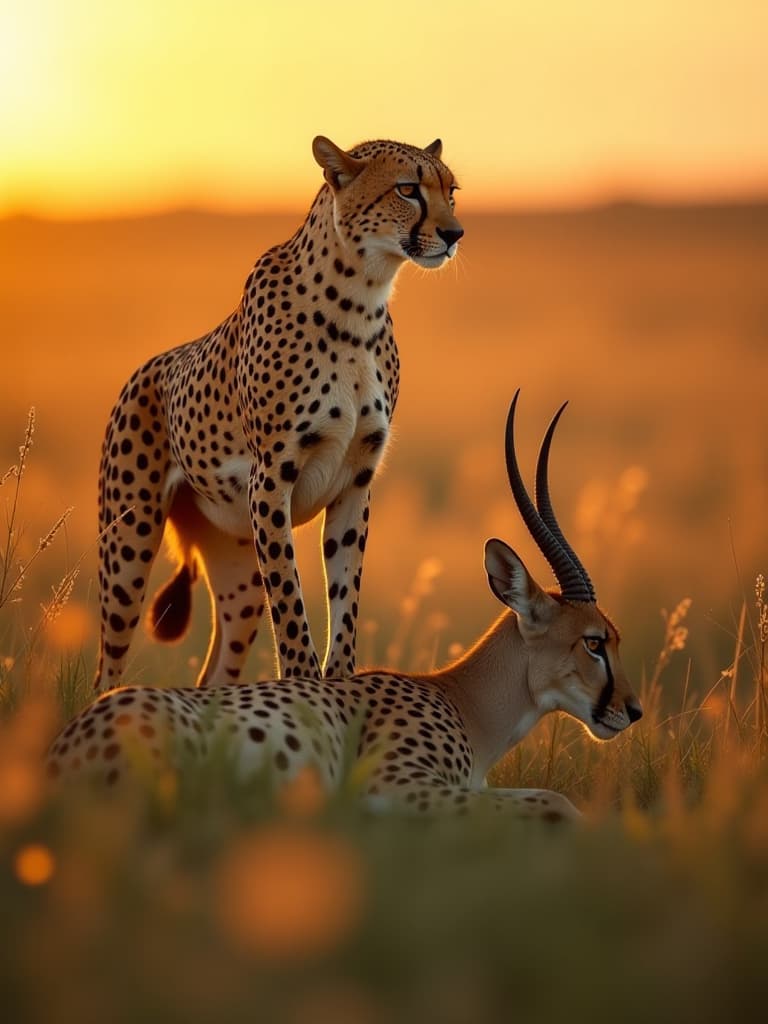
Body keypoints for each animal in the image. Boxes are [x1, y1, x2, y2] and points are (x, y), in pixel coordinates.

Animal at [93, 134, 460, 688]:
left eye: (450, 191)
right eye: (407, 189)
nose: (454, 233)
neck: (360, 301)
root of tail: (145, 369)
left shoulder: (355, 482)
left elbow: (345, 595)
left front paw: (341, 681)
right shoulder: (271, 477)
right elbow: (289, 600)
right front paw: (306, 682)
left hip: (239, 564)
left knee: (215, 678)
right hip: (129, 543)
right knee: (106, 671)